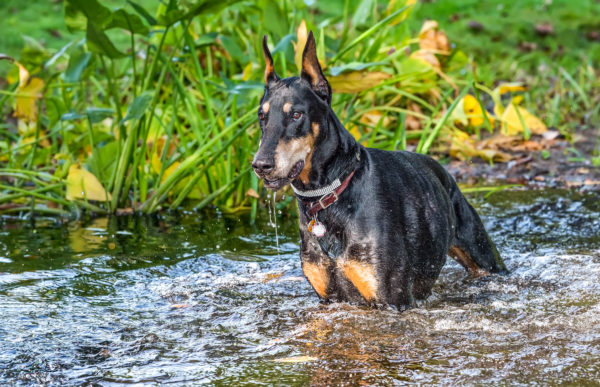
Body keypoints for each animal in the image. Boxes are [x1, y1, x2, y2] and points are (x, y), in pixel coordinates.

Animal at [253, 31, 506, 312]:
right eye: (261, 116)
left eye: (296, 114)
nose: (260, 165)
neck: (331, 195)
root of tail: (444, 173)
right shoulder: (328, 297)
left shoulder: (391, 299)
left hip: (481, 253)